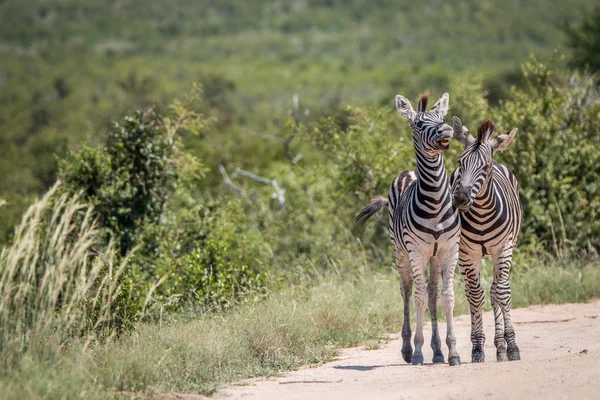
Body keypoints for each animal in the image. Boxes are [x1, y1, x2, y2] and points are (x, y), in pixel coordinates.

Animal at [356, 93, 464, 366]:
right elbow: (418, 299)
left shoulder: (449, 250)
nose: (445, 130)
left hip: (433, 256)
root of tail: (408, 172)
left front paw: (452, 352)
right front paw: (416, 351)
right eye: (417, 124)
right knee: (406, 291)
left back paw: (437, 351)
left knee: (433, 293)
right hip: (400, 252)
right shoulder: (416, 251)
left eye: (442, 119)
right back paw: (407, 349)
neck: (435, 201)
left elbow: (447, 297)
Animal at [450, 115, 520, 362]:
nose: (460, 198)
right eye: (460, 162)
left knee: (496, 289)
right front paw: (478, 348)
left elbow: (502, 292)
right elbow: (475, 296)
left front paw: (512, 346)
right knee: (478, 292)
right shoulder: (466, 253)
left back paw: (501, 346)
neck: (480, 213)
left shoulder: (503, 248)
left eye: (485, 166)